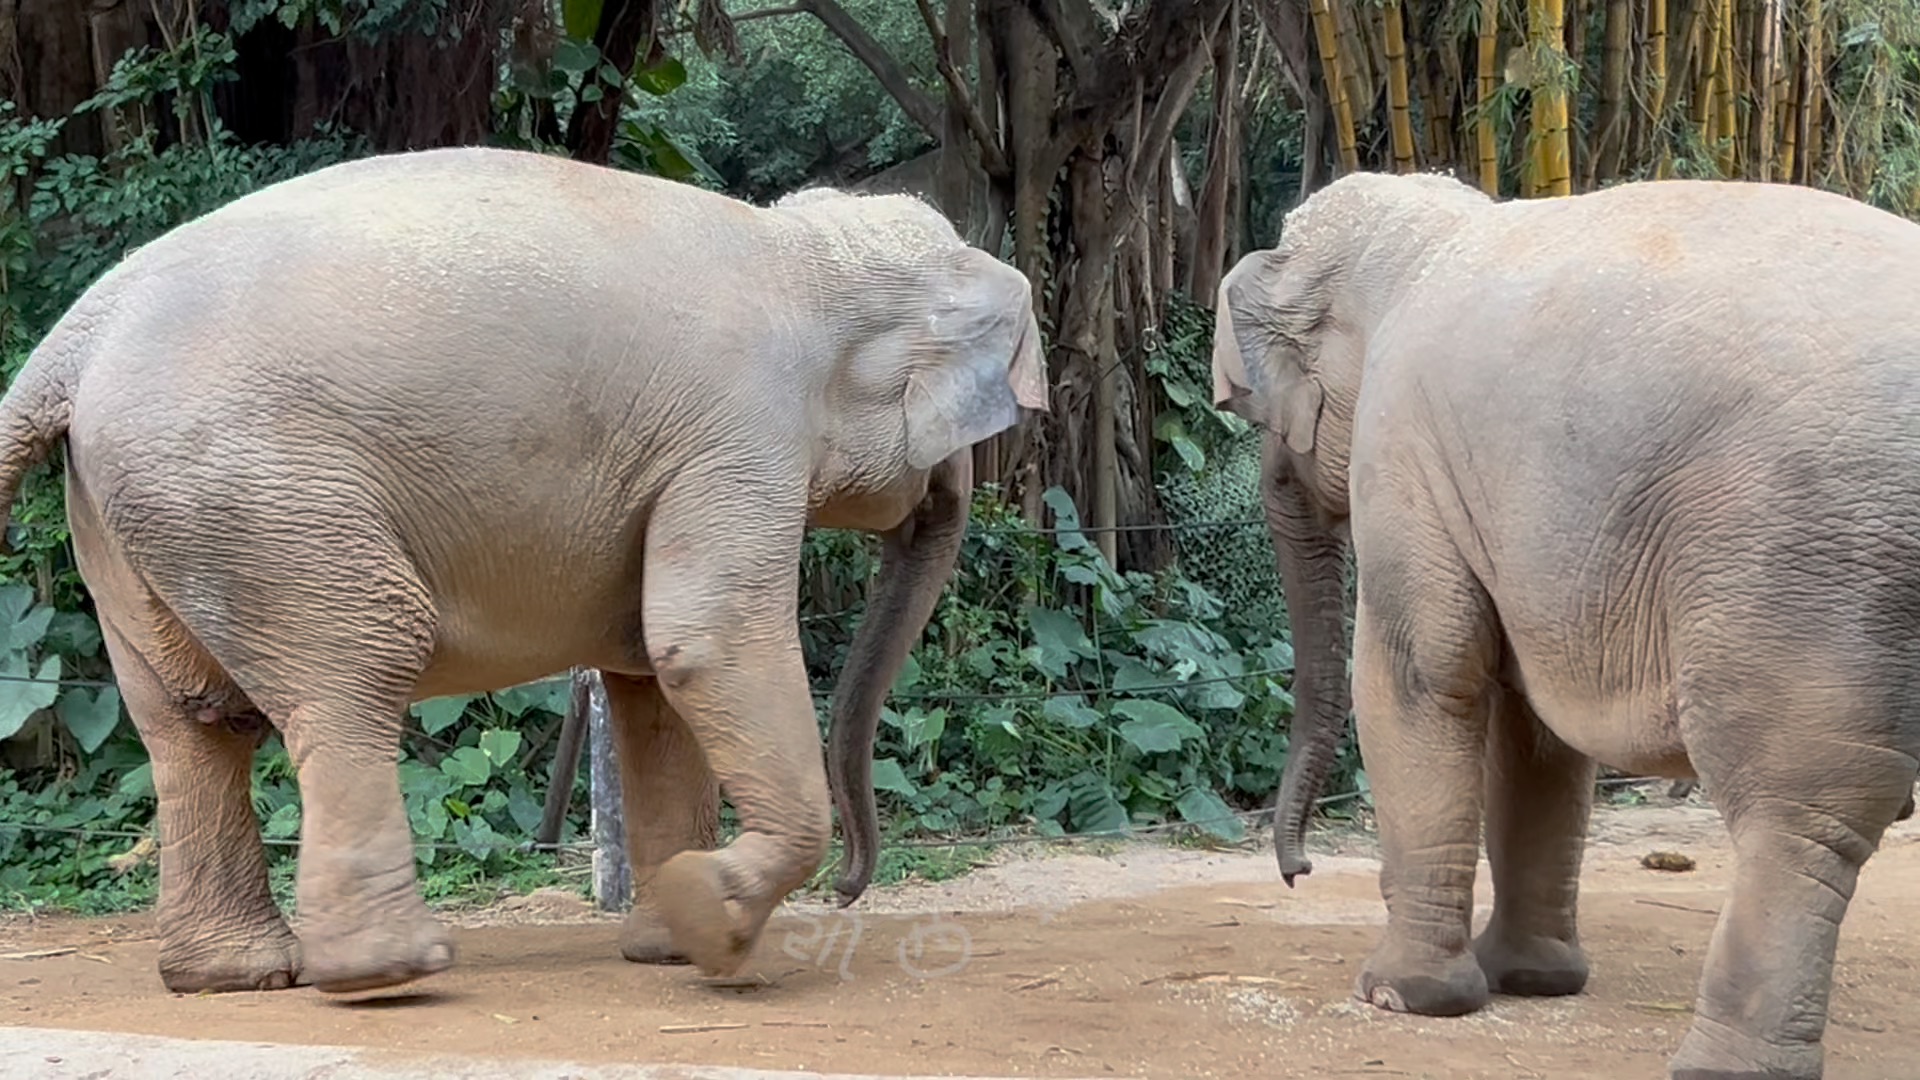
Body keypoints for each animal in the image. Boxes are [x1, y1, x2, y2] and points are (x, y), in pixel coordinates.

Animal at [0, 143, 1052, 991]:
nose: (848, 894)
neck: (800, 255)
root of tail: (72, 338)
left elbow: (650, 677)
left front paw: (667, 941)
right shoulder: (742, 428)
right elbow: (704, 641)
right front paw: (712, 922)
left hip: (133, 510)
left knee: (191, 722)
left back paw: (234, 977)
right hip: (259, 499)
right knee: (354, 669)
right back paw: (389, 972)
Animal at [1213, 170, 1920, 1076]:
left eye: (1259, 416)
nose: (1296, 872)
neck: (1430, 235)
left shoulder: (1402, 450)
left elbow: (1420, 675)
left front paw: (1405, 997)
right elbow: (1533, 730)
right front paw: (1532, 983)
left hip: (1807, 562)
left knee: (1797, 809)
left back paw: (1720, 1064)